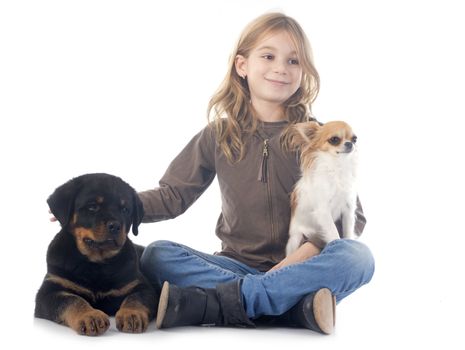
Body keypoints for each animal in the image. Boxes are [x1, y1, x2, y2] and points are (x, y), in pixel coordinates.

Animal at [34, 174, 158, 334]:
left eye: (125, 209)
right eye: (92, 207)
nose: (115, 226)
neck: (97, 262)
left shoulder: (140, 285)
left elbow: (136, 298)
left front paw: (131, 314)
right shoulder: (49, 290)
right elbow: (72, 300)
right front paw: (90, 316)